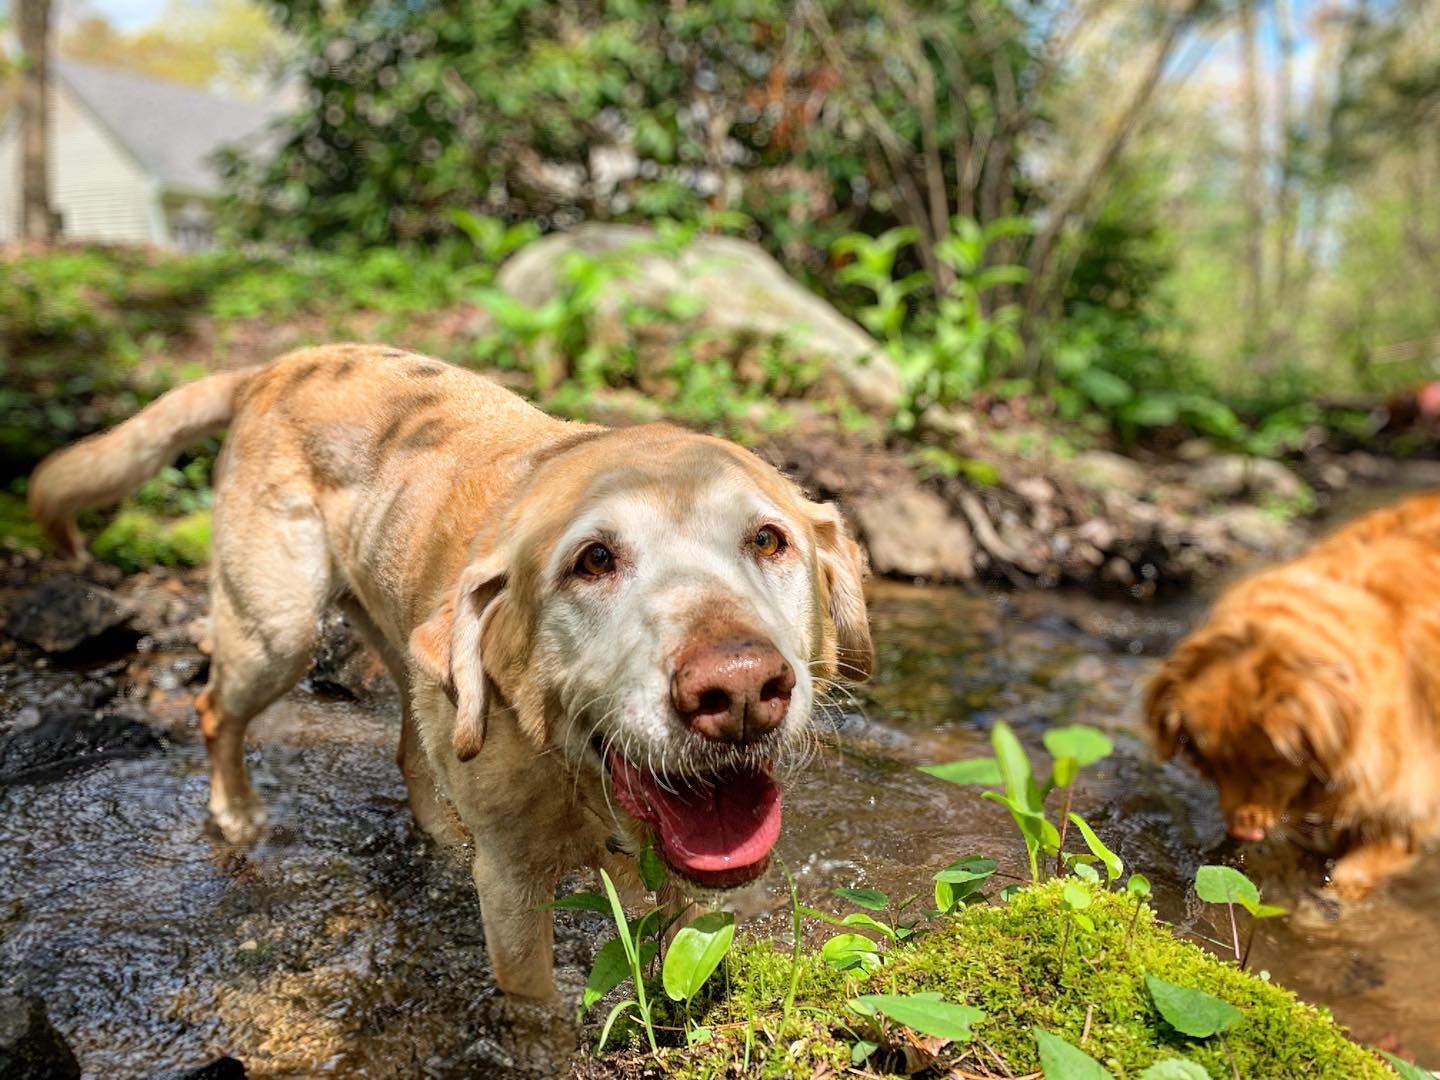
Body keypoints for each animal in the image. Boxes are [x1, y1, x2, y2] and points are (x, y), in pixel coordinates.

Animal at [28, 351, 869, 1013]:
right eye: (594, 560)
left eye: (769, 541)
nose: (739, 690)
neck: (571, 770)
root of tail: (279, 364)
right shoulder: (511, 890)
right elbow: (540, 1006)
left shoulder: (680, 889)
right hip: (278, 630)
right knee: (213, 709)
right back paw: (236, 815)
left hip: (409, 650)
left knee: (410, 749)